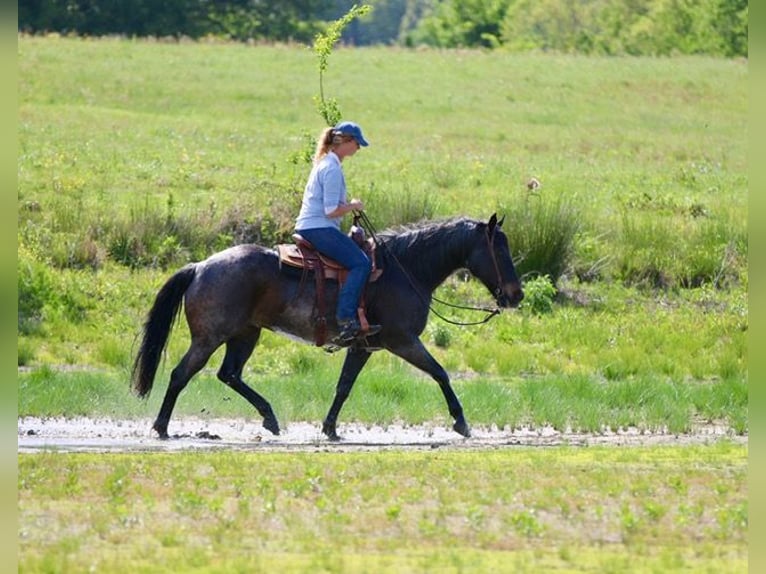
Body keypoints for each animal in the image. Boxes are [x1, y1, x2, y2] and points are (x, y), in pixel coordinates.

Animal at [131, 213, 524, 441]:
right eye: (499, 250)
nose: (516, 294)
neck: (406, 269)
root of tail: (200, 266)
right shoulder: (403, 340)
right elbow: (441, 372)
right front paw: (461, 422)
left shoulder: (363, 346)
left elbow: (344, 386)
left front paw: (331, 429)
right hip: (209, 337)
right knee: (182, 373)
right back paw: (162, 427)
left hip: (246, 334)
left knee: (229, 374)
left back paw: (270, 418)